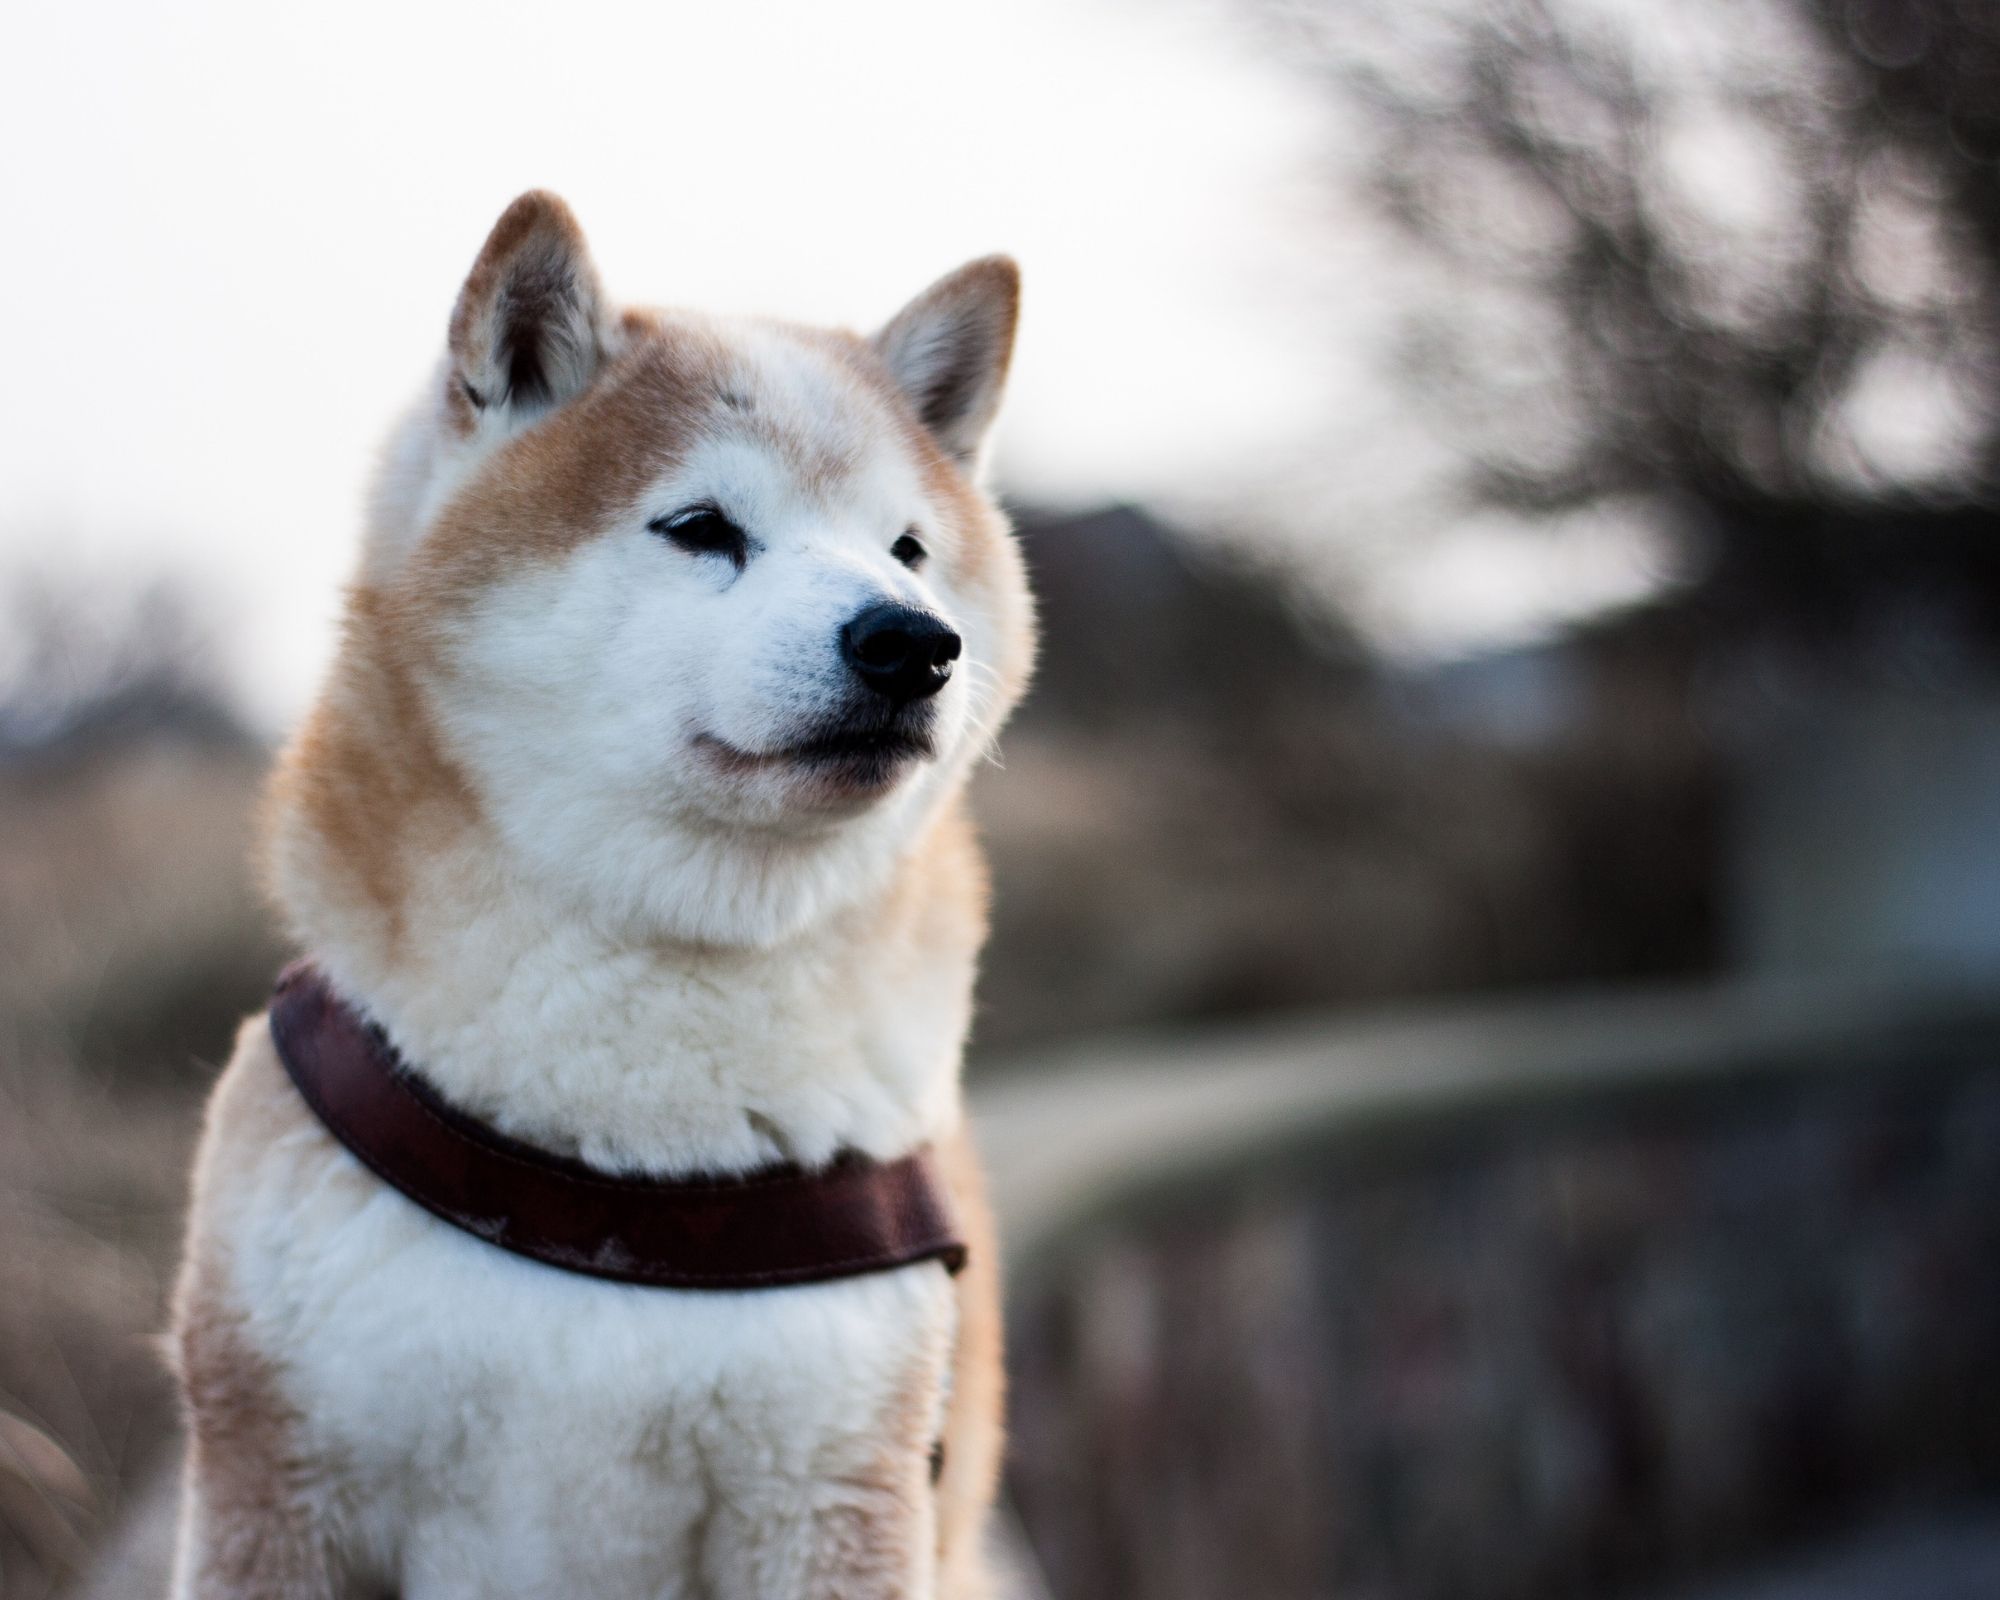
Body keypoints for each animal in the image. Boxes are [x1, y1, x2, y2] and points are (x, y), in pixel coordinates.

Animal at [168, 191, 1032, 1600]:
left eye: (906, 548)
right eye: (701, 527)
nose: (911, 640)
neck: (626, 1159)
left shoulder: (830, 1488)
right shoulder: (278, 1481)